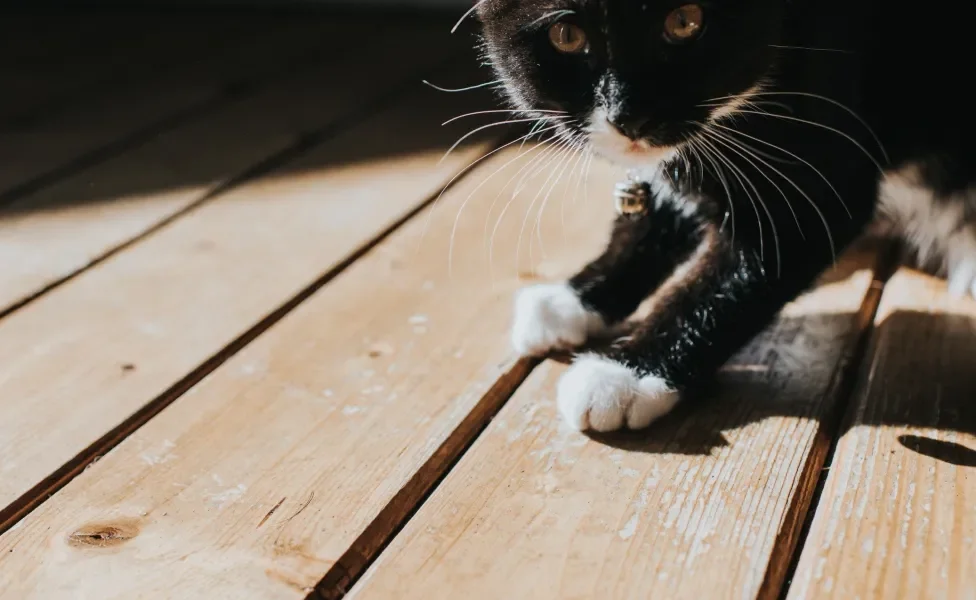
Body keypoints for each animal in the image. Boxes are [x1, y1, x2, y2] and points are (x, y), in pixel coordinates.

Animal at [468, 0, 972, 432]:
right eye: (567, 36)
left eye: (685, 21)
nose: (628, 116)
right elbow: (658, 208)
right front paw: (575, 297)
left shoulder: (822, 170)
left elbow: (730, 276)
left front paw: (628, 374)